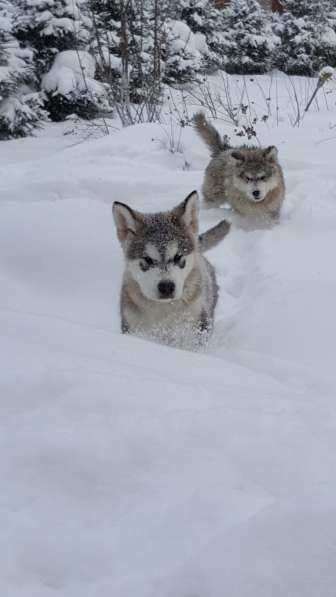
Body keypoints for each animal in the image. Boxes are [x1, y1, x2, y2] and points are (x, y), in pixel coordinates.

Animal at [113, 191, 231, 350]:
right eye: (148, 259)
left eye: (178, 256)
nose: (166, 286)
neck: (164, 311)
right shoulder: (134, 326)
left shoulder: (196, 327)